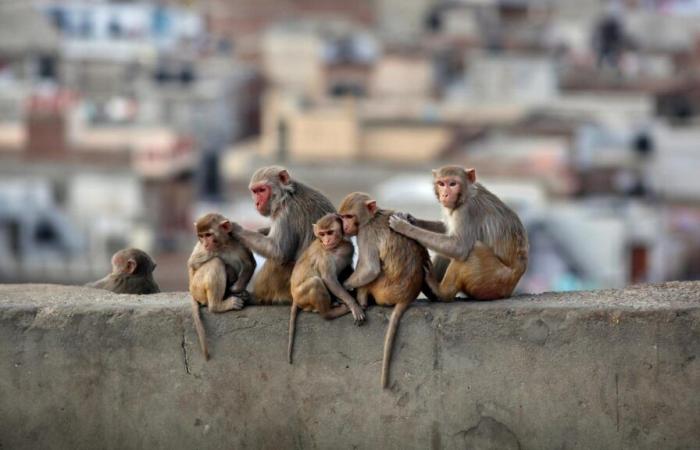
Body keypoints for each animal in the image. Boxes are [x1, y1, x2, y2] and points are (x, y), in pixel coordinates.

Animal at [189, 213, 258, 360]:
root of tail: (191, 291)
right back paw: (218, 305)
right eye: (201, 236)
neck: (224, 244)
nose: (205, 243)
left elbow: (249, 263)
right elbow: (193, 264)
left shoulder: (240, 242)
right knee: (216, 262)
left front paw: (238, 290)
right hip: (197, 287)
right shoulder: (204, 250)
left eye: (208, 235)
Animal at [232, 163, 336, 304]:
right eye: (255, 191)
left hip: (294, 290)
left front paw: (236, 230)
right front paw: (262, 231)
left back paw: (256, 296)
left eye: (262, 190)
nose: (257, 203)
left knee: (278, 260)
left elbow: (278, 251)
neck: (286, 195)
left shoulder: (286, 213)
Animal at [288, 213, 366, 364]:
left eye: (330, 232)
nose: (326, 240)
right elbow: (328, 279)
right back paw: (330, 313)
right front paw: (353, 304)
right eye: (322, 234)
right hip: (302, 296)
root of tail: (294, 297)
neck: (337, 247)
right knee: (316, 282)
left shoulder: (348, 248)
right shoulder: (324, 257)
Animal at [336, 192, 430, 388]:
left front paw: (345, 289)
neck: (371, 217)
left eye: (349, 216)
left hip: (384, 290)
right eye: (342, 217)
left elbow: (370, 268)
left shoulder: (365, 234)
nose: (345, 226)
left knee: (372, 275)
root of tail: (408, 294)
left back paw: (362, 301)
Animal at [386, 166, 528, 302]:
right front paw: (410, 219)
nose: (445, 195)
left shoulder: (467, 211)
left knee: (473, 249)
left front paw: (405, 227)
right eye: (441, 183)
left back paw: (440, 292)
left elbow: (458, 247)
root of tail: (511, 287)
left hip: (493, 281)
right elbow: (446, 229)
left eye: (453, 184)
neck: (466, 194)